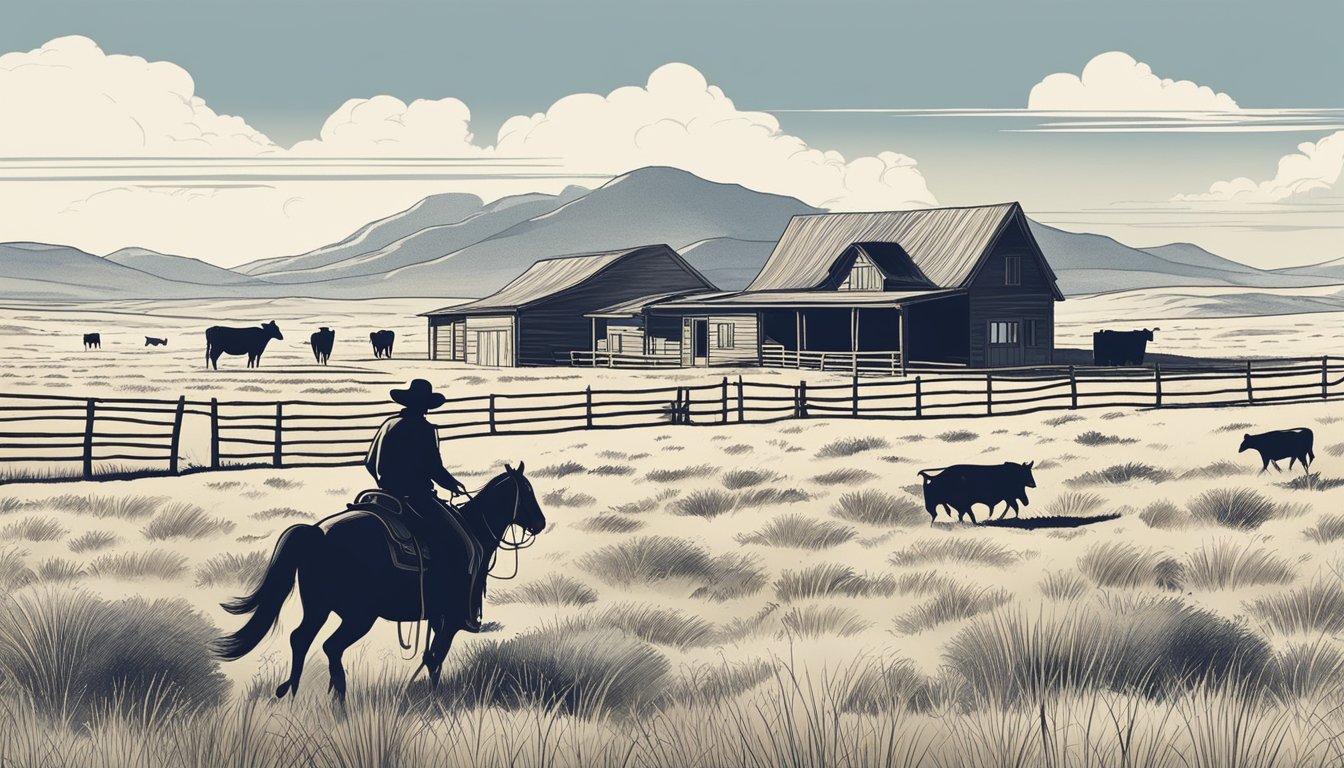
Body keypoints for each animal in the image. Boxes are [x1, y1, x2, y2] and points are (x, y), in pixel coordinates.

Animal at [211, 462, 545, 704]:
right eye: (527, 492)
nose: (540, 523)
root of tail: (317, 534)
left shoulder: (436, 617)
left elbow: (430, 657)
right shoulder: (450, 619)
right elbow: (436, 657)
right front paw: (435, 700)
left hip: (319, 607)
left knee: (300, 639)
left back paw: (292, 694)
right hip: (360, 616)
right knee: (331, 647)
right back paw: (340, 706)